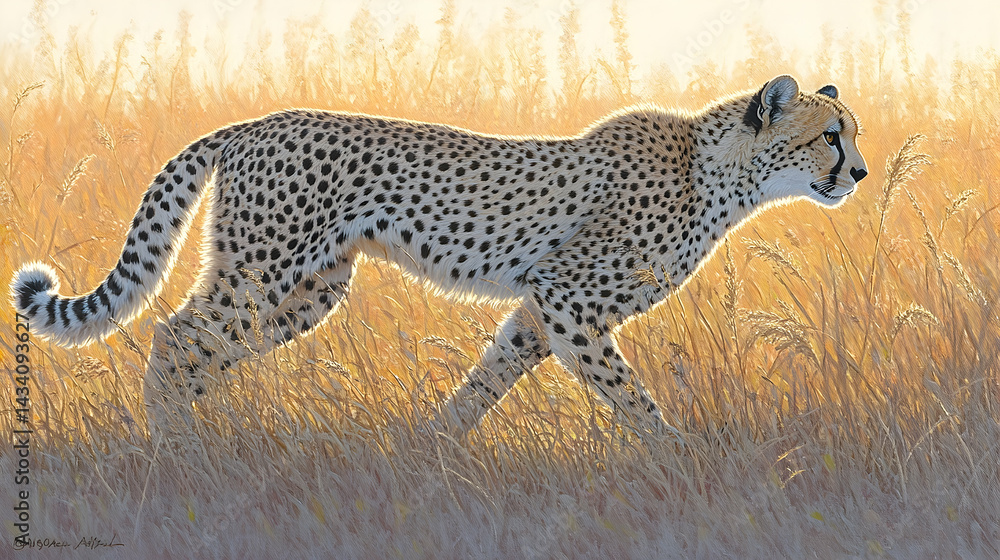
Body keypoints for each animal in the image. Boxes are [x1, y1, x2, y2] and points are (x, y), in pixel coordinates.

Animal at [11, 75, 867, 439]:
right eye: (831, 134)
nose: (860, 173)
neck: (719, 170)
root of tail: (254, 121)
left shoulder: (543, 307)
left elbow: (488, 378)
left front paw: (430, 448)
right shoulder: (570, 297)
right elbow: (629, 396)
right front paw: (678, 457)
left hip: (310, 291)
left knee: (201, 351)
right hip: (263, 272)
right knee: (175, 337)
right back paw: (175, 449)